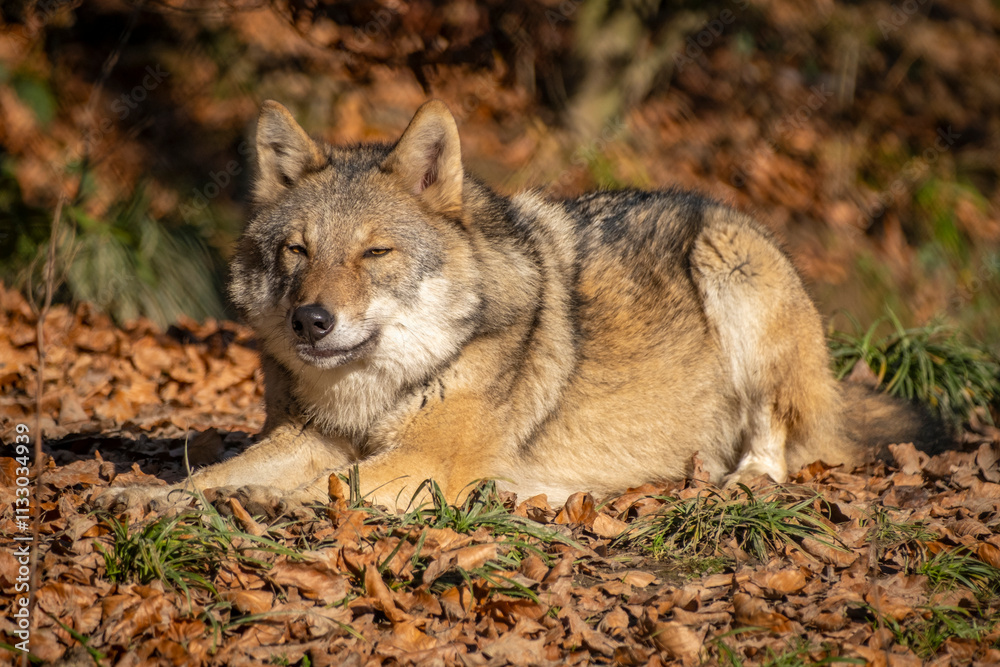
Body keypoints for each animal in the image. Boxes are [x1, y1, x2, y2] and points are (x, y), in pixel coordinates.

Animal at [106, 100, 937, 513]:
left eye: (375, 253)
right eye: (297, 252)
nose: (311, 320)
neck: (379, 387)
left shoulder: (426, 462)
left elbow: (319, 488)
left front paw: (257, 504)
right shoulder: (308, 435)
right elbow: (218, 472)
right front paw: (151, 495)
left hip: (733, 266)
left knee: (779, 441)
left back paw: (742, 477)